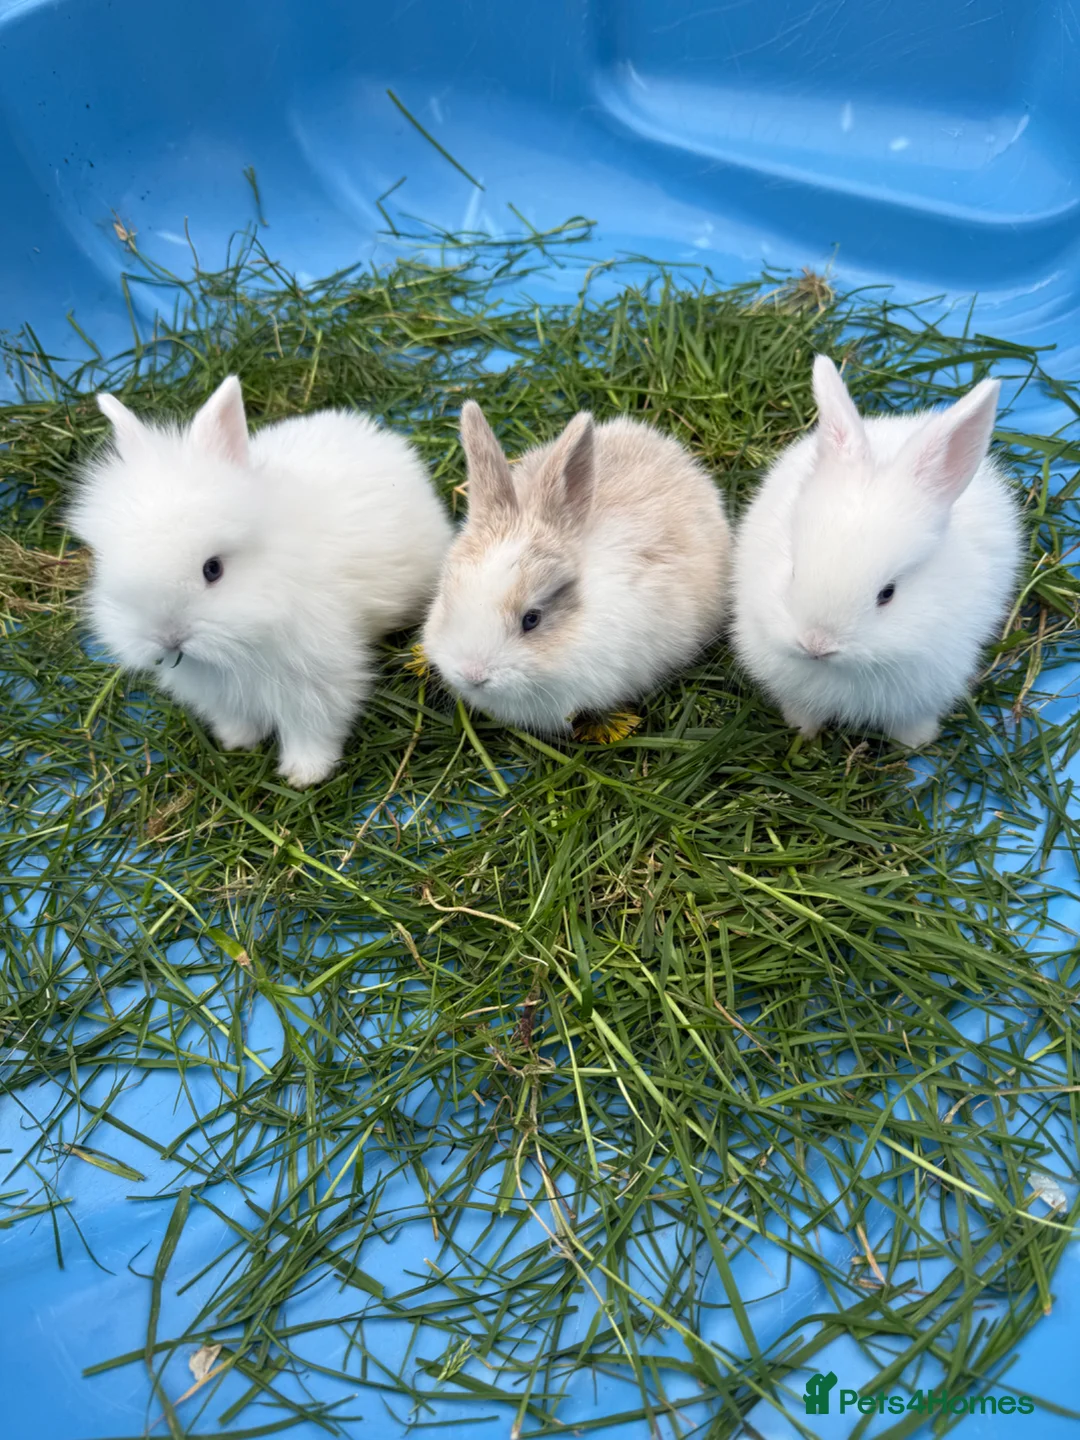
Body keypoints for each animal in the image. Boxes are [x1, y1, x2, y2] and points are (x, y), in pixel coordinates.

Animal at [69, 376, 453, 787]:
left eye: (213, 569)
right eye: (108, 564)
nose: (168, 639)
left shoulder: (317, 682)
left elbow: (313, 730)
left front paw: (304, 775)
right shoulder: (218, 693)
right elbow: (237, 718)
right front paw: (237, 743)